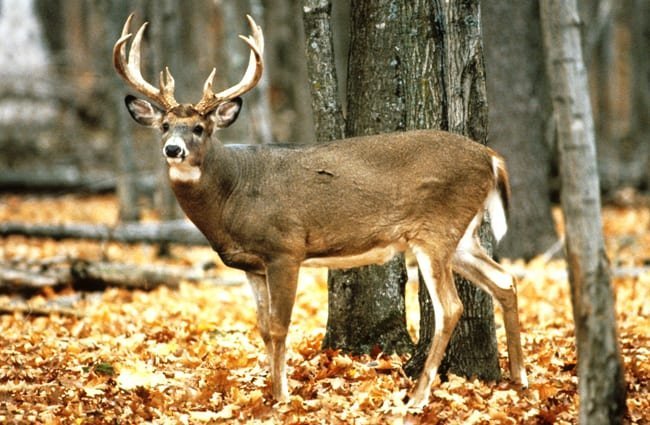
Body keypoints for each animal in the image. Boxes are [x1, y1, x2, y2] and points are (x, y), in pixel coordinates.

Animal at [113, 14, 528, 408]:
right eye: (165, 125)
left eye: (200, 127)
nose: (173, 149)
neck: (232, 193)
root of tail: (491, 158)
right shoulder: (251, 264)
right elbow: (262, 328)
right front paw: (270, 391)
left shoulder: (285, 249)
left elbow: (279, 326)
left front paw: (281, 397)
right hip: (462, 234)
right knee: (504, 280)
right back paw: (519, 378)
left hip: (435, 229)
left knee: (451, 307)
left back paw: (418, 397)